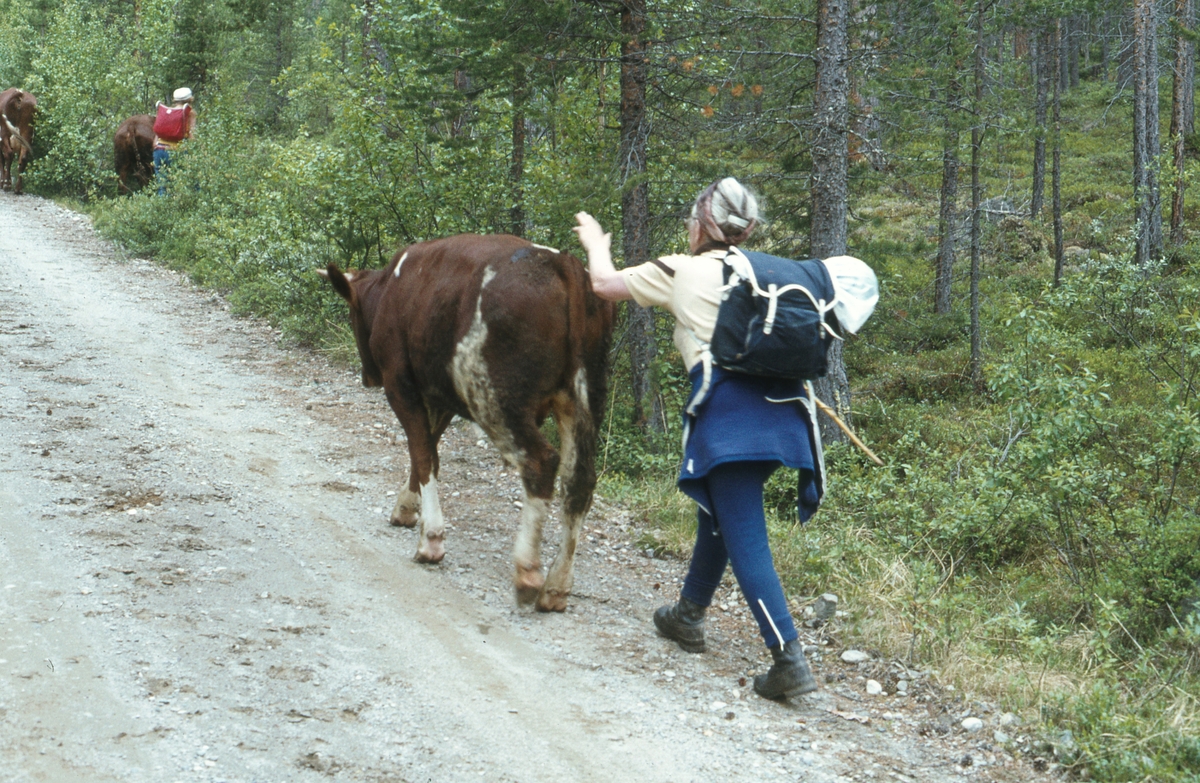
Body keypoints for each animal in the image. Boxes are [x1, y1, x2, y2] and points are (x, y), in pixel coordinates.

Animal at [319, 232, 614, 612]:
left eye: (353, 315)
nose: (367, 375)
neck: (389, 288)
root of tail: (563, 264)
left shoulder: (401, 384)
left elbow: (423, 453)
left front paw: (431, 540)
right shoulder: (440, 392)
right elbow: (427, 450)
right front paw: (406, 508)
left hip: (494, 397)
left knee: (540, 461)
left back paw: (527, 572)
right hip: (584, 397)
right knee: (580, 481)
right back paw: (556, 586)